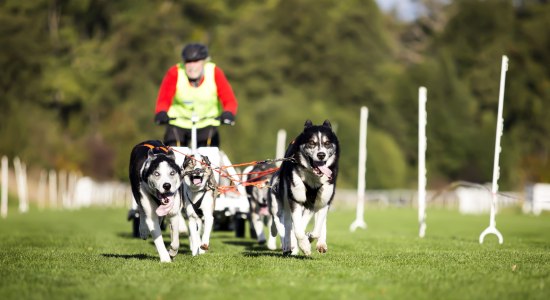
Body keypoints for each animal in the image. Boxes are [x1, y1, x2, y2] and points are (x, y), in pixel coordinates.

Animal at [270, 119, 338, 255]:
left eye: (327, 143)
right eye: (312, 143)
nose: (321, 154)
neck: (313, 178)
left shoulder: (324, 201)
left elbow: (316, 229)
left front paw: (310, 238)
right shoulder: (295, 199)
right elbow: (296, 229)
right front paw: (304, 245)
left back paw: (320, 243)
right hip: (281, 203)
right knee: (285, 223)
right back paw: (289, 244)